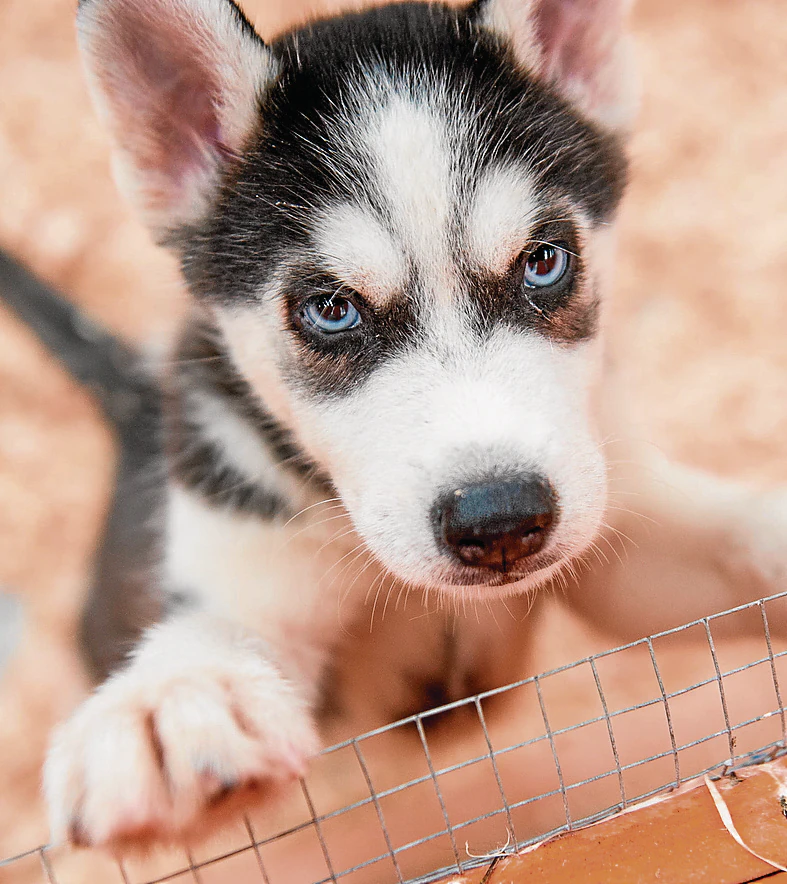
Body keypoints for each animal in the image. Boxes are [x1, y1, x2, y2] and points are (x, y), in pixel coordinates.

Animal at [33, 0, 787, 848]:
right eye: (331, 308)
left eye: (543, 261)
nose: (499, 520)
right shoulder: (247, 554)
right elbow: (220, 633)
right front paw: (178, 694)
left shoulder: (622, 539)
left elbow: (739, 541)